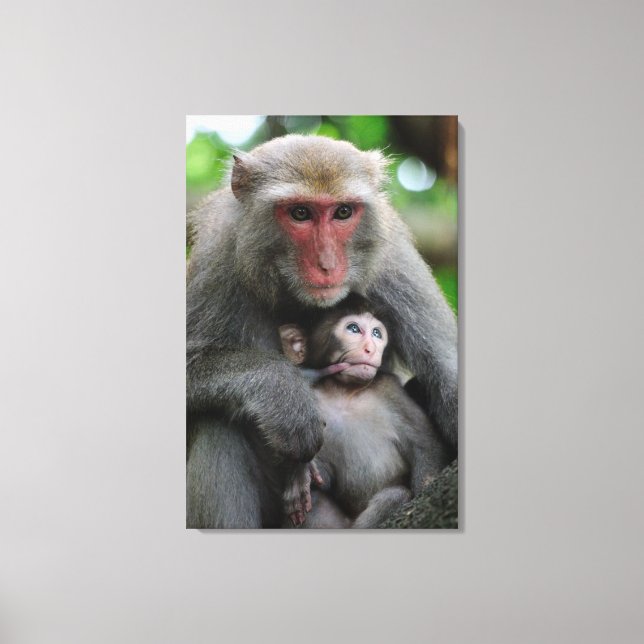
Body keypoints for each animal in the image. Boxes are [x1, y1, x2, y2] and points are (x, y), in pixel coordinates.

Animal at [278, 298, 450, 528]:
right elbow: (323, 478)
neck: (345, 394)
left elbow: (425, 444)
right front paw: (303, 472)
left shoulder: (390, 391)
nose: (371, 348)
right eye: (353, 329)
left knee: (395, 495)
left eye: (377, 333)